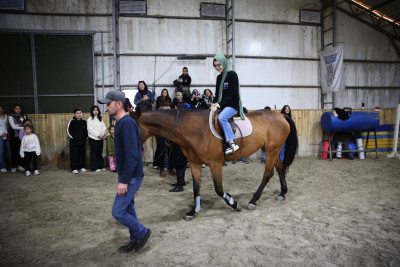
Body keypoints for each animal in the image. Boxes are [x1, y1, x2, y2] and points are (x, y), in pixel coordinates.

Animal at [133, 108, 298, 221]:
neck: (194, 130)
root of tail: (281, 115)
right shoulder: (194, 163)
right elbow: (196, 188)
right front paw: (193, 211)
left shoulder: (215, 163)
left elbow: (219, 189)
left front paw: (234, 203)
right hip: (271, 149)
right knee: (280, 168)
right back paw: (282, 193)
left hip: (272, 150)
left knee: (268, 173)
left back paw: (253, 200)